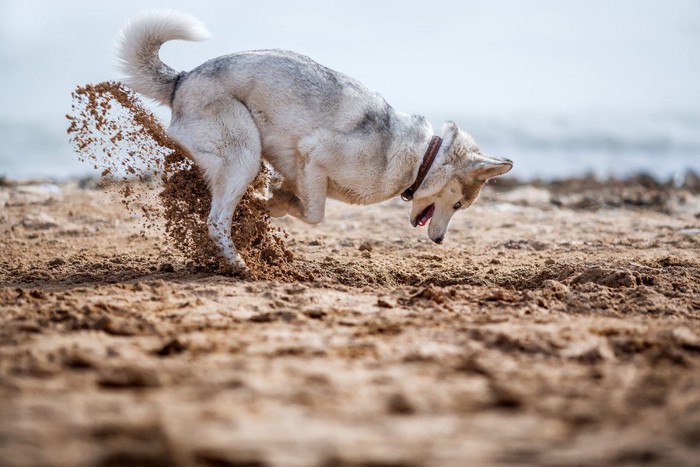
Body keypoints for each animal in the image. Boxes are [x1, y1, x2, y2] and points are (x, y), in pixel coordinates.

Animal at [116, 9, 516, 272]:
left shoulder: (300, 171)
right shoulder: (314, 156)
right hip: (245, 154)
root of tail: (182, 79)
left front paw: (272, 202)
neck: (422, 159)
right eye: (459, 205)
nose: (439, 242)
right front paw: (268, 204)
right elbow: (314, 214)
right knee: (215, 221)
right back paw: (239, 263)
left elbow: (295, 202)